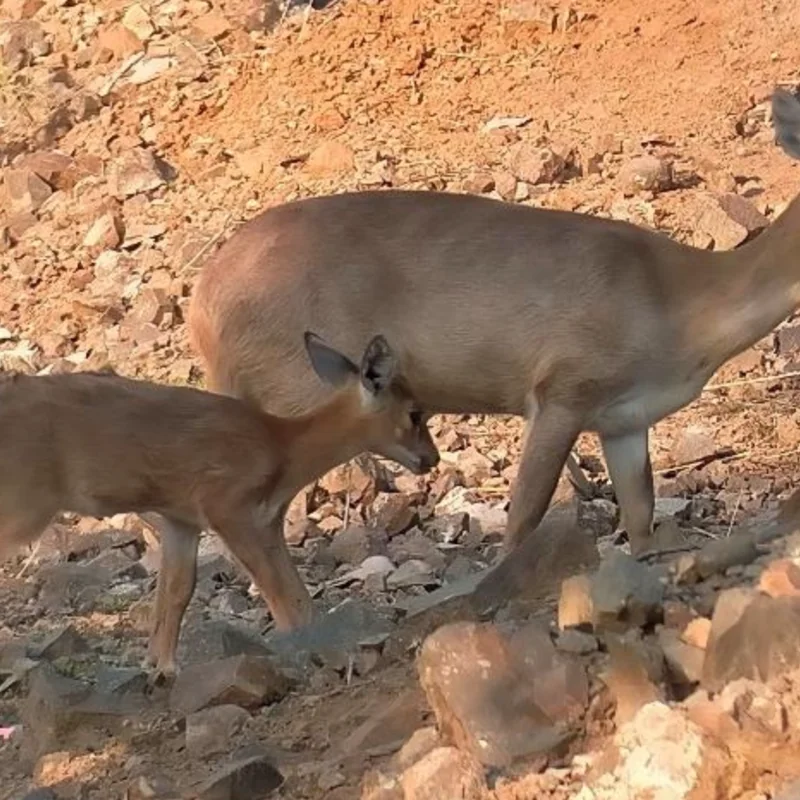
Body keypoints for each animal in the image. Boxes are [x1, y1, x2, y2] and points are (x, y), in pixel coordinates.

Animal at [0, 333, 438, 678]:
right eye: (415, 413)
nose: (431, 459)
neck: (282, 449)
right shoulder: (227, 508)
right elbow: (279, 593)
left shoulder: (190, 521)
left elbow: (180, 590)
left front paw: (160, 668)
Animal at [188, 87, 800, 559]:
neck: (679, 300)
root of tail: (202, 303)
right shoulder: (562, 389)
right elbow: (524, 513)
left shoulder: (624, 419)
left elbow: (641, 515)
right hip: (294, 392)